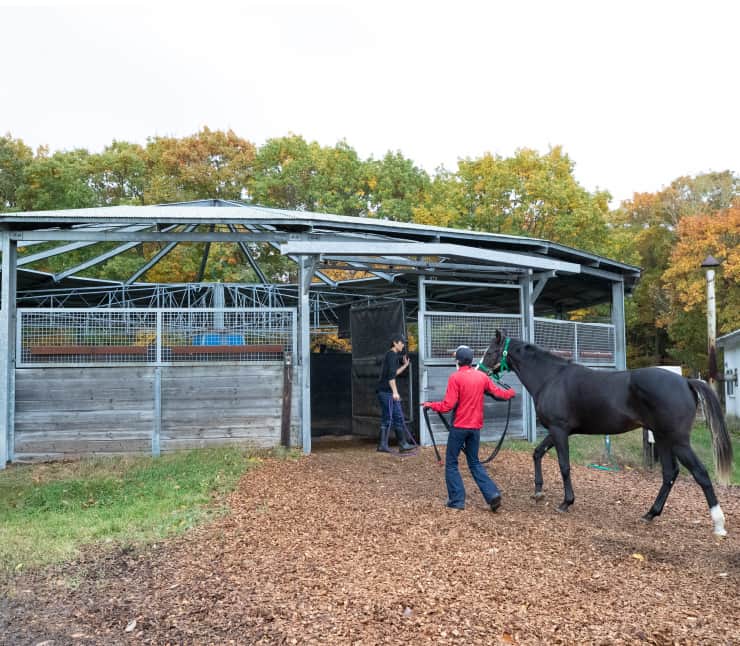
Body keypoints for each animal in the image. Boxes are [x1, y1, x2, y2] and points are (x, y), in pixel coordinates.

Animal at [482, 332, 732, 540]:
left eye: (490, 351)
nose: (479, 370)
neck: (551, 378)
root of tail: (686, 381)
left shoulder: (559, 430)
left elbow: (564, 466)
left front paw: (566, 502)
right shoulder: (555, 432)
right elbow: (537, 453)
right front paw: (538, 491)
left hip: (677, 441)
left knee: (700, 473)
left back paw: (719, 525)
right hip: (662, 439)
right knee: (670, 473)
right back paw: (650, 514)